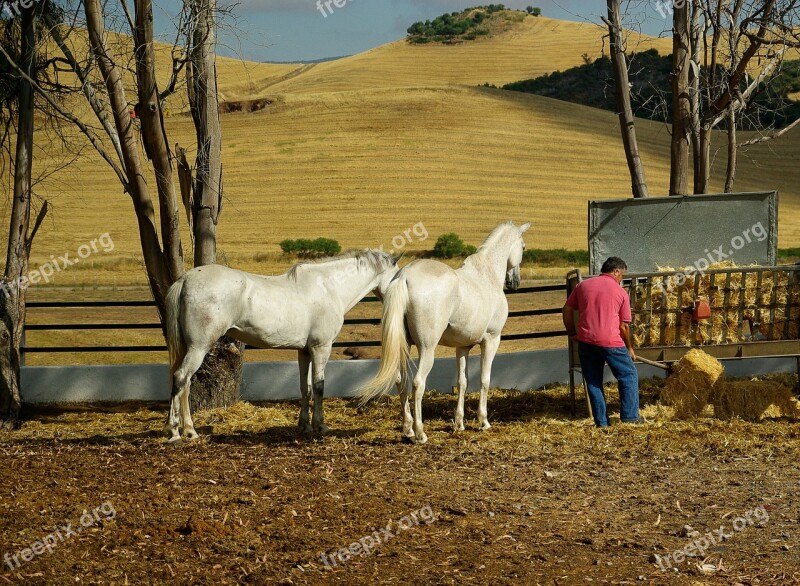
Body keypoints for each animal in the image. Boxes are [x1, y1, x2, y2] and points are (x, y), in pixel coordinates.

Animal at [164, 249, 400, 440]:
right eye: (397, 275)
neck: (329, 287)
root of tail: (185, 279)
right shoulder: (321, 348)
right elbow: (319, 386)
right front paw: (320, 425)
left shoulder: (304, 351)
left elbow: (305, 387)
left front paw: (305, 425)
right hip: (198, 348)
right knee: (181, 378)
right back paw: (176, 431)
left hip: (189, 348)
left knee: (185, 384)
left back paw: (188, 430)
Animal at [360, 221, 528, 440]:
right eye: (523, 247)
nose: (514, 282)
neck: (486, 276)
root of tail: (404, 276)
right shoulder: (491, 340)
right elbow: (484, 379)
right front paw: (483, 421)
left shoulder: (462, 347)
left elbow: (462, 382)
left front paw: (459, 423)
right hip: (427, 349)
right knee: (417, 383)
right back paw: (420, 433)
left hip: (404, 346)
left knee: (401, 381)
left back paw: (407, 430)